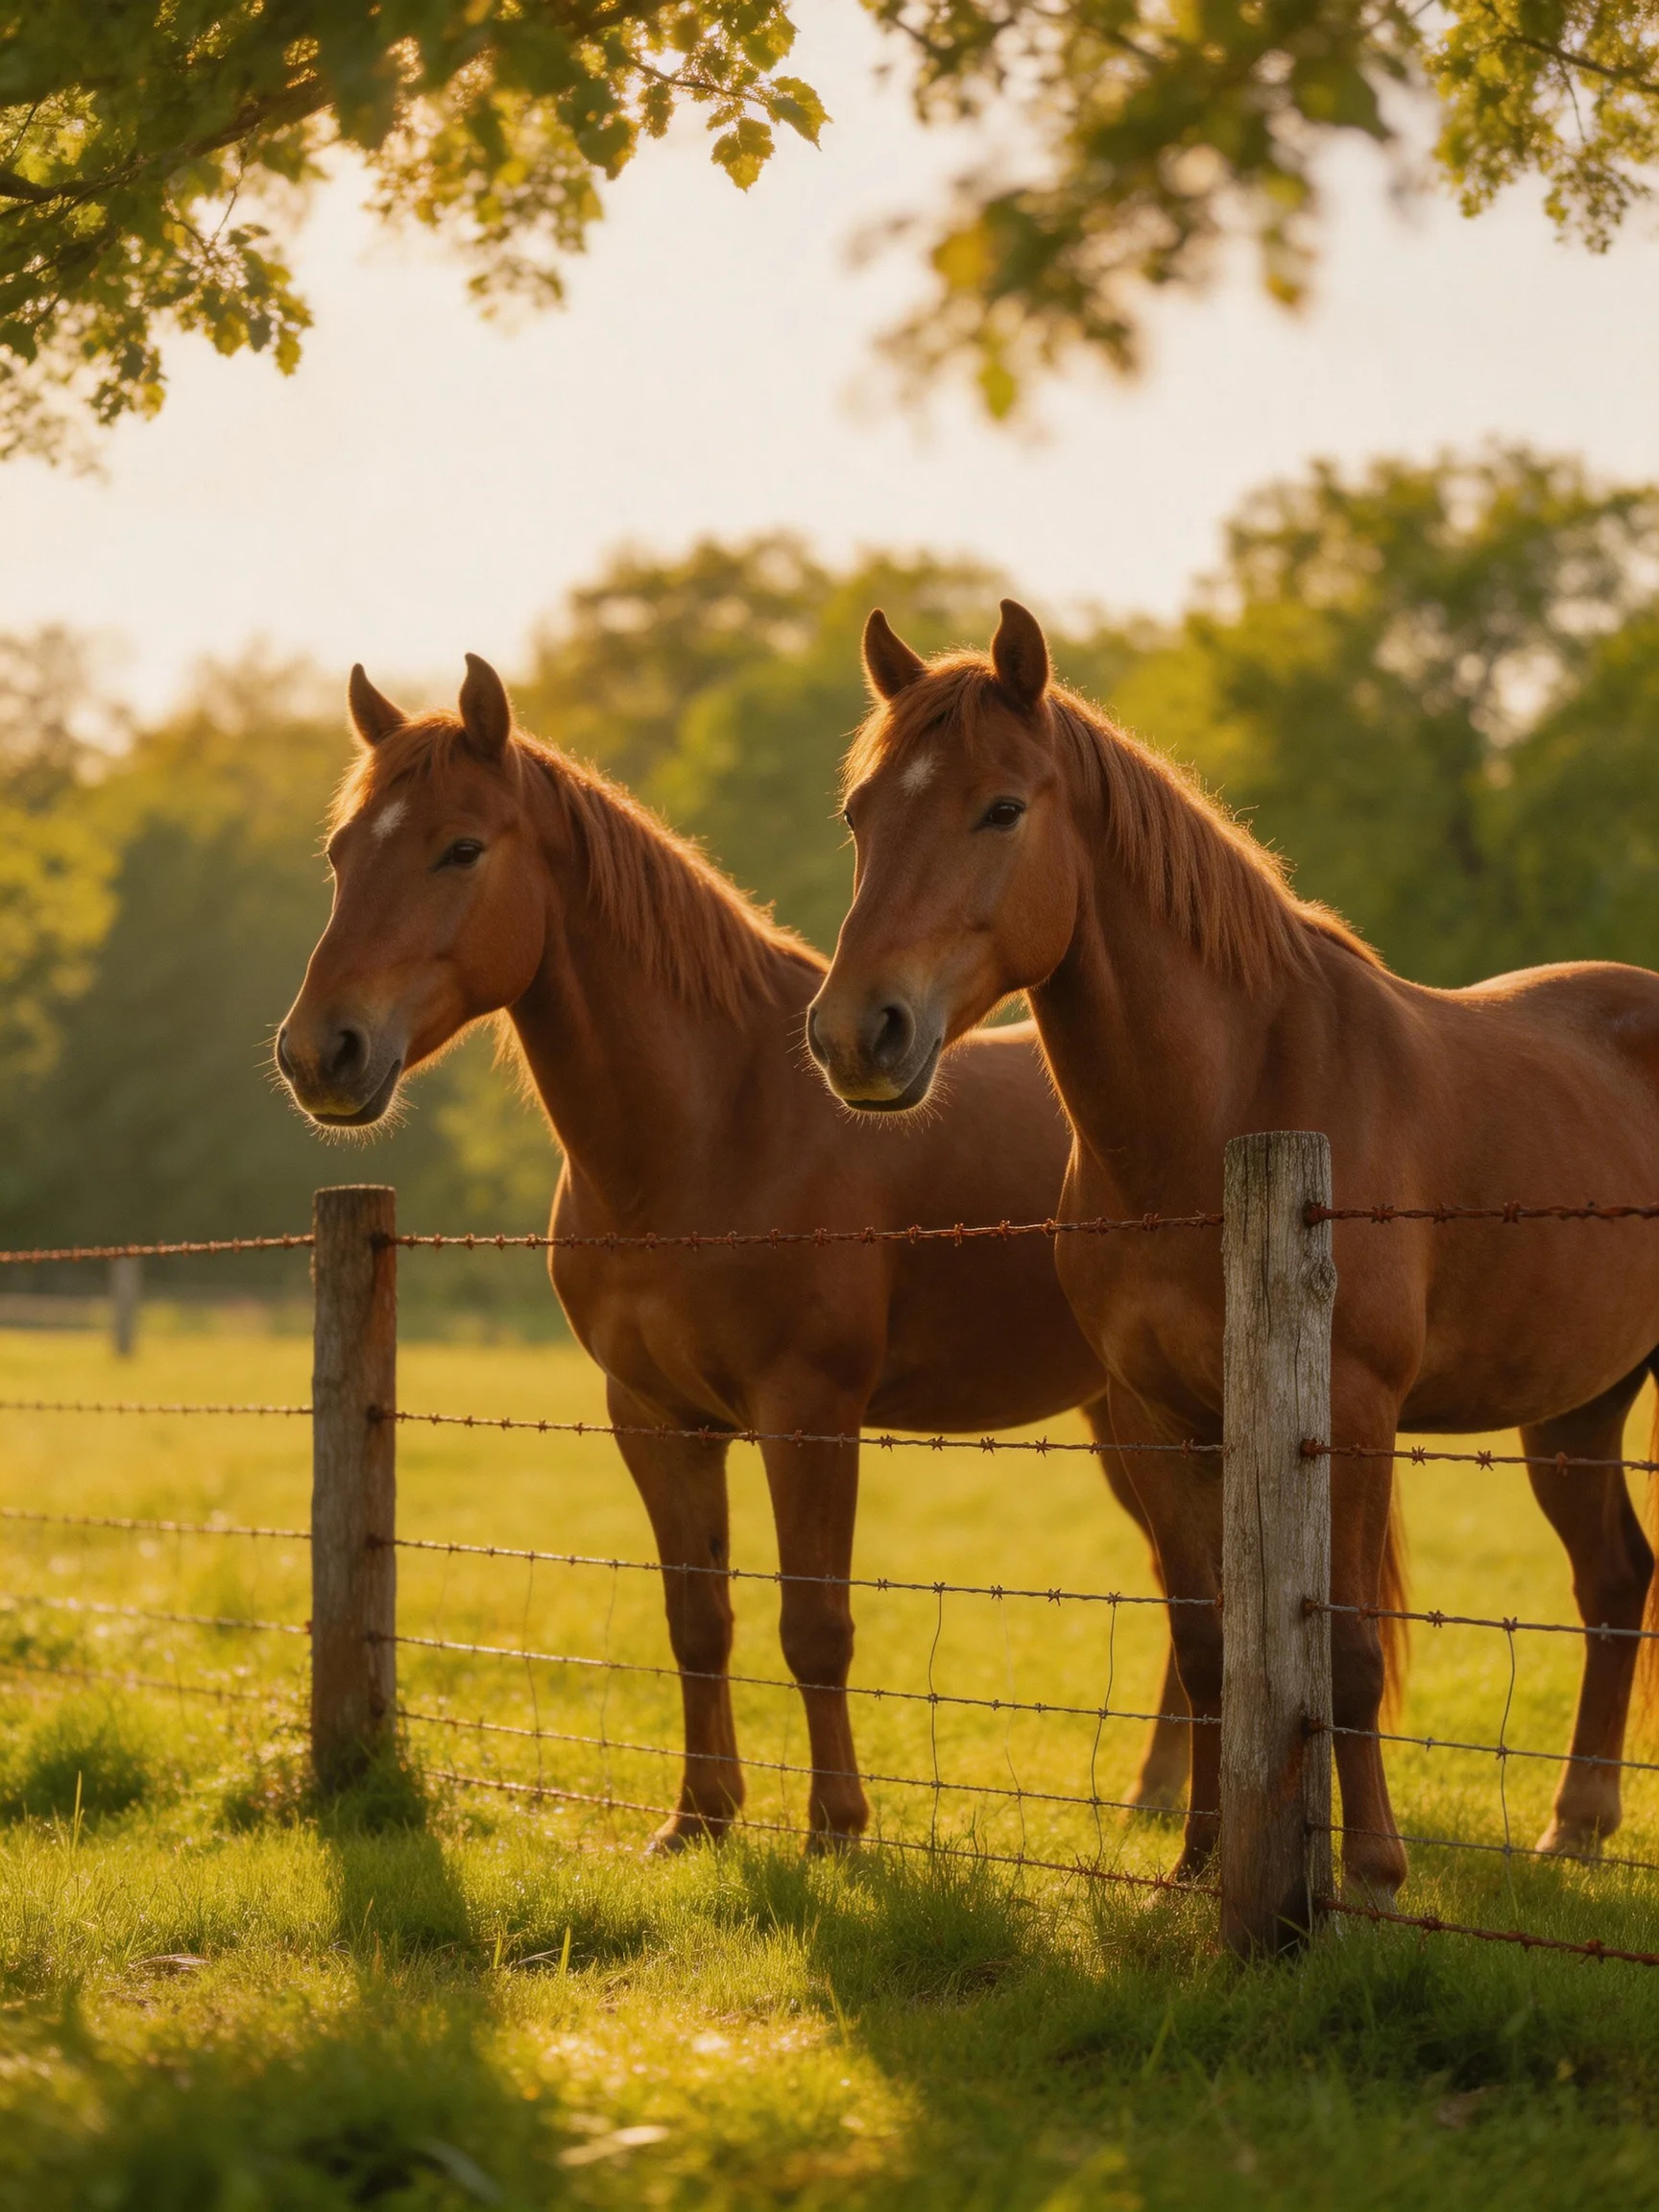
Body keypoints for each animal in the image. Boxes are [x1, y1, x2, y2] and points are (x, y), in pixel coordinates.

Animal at [276, 651, 1195, 1849]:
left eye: (461, 847)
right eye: (342, 853)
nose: (319, 1054)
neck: (711, 1131)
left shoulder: (808, 1412)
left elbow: (815, 1624)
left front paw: (837, 1826)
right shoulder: (656, 1416)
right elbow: (696, 1616)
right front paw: (700, 1817)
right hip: (1123, 1412)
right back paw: (1157, 1797)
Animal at [805, 599, 1659, 1898]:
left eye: (1001, 807)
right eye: (861, 814)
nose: (861, 1034)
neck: (1224, 1110)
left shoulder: (1349, 1414)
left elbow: (1348, 1651)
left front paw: (1372, 1873)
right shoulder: (1161, 1415)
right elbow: (1208, 1644)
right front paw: (1199, 1862)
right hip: (1577, 1408)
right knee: (1614, 1577)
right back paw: (1577, 1824)